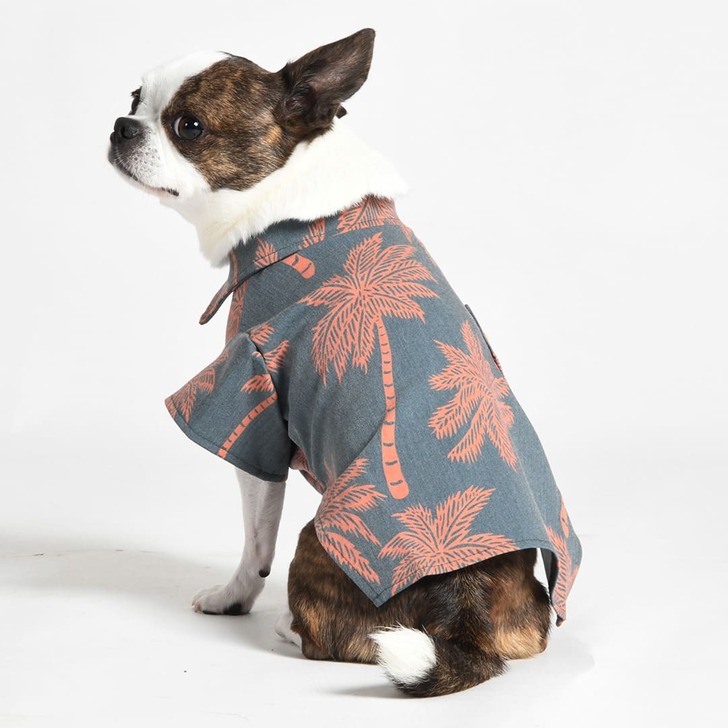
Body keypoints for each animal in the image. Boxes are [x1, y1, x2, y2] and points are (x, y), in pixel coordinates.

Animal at [108, 28, 582, 697]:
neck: (287, 201)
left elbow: (255, 540)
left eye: (189, 126)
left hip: (321, 537)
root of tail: (465, 605)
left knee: (329, 636)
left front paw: (232, 597)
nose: (122, 126)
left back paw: (289, 626)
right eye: (134, 97)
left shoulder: (254, 403)